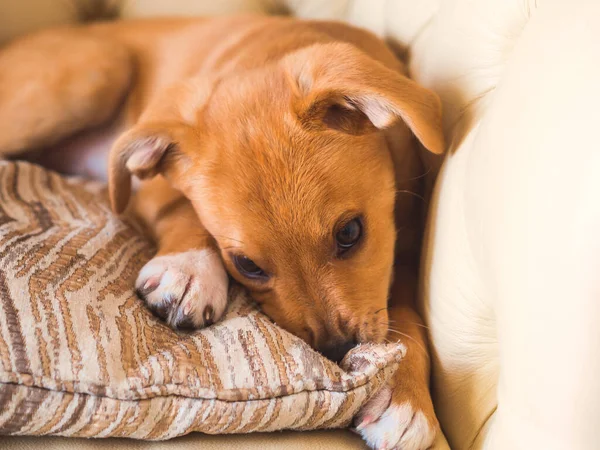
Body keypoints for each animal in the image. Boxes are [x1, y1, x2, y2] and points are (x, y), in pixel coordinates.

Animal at [0, 14, 442, 450]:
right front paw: (189, 270)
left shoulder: (407, 250)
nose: (338, 349)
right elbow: (187, 211)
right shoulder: (150, 185)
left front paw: (404, 395)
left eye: (350, 232)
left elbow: (408, 312)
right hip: (96, 70)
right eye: (246, 265)